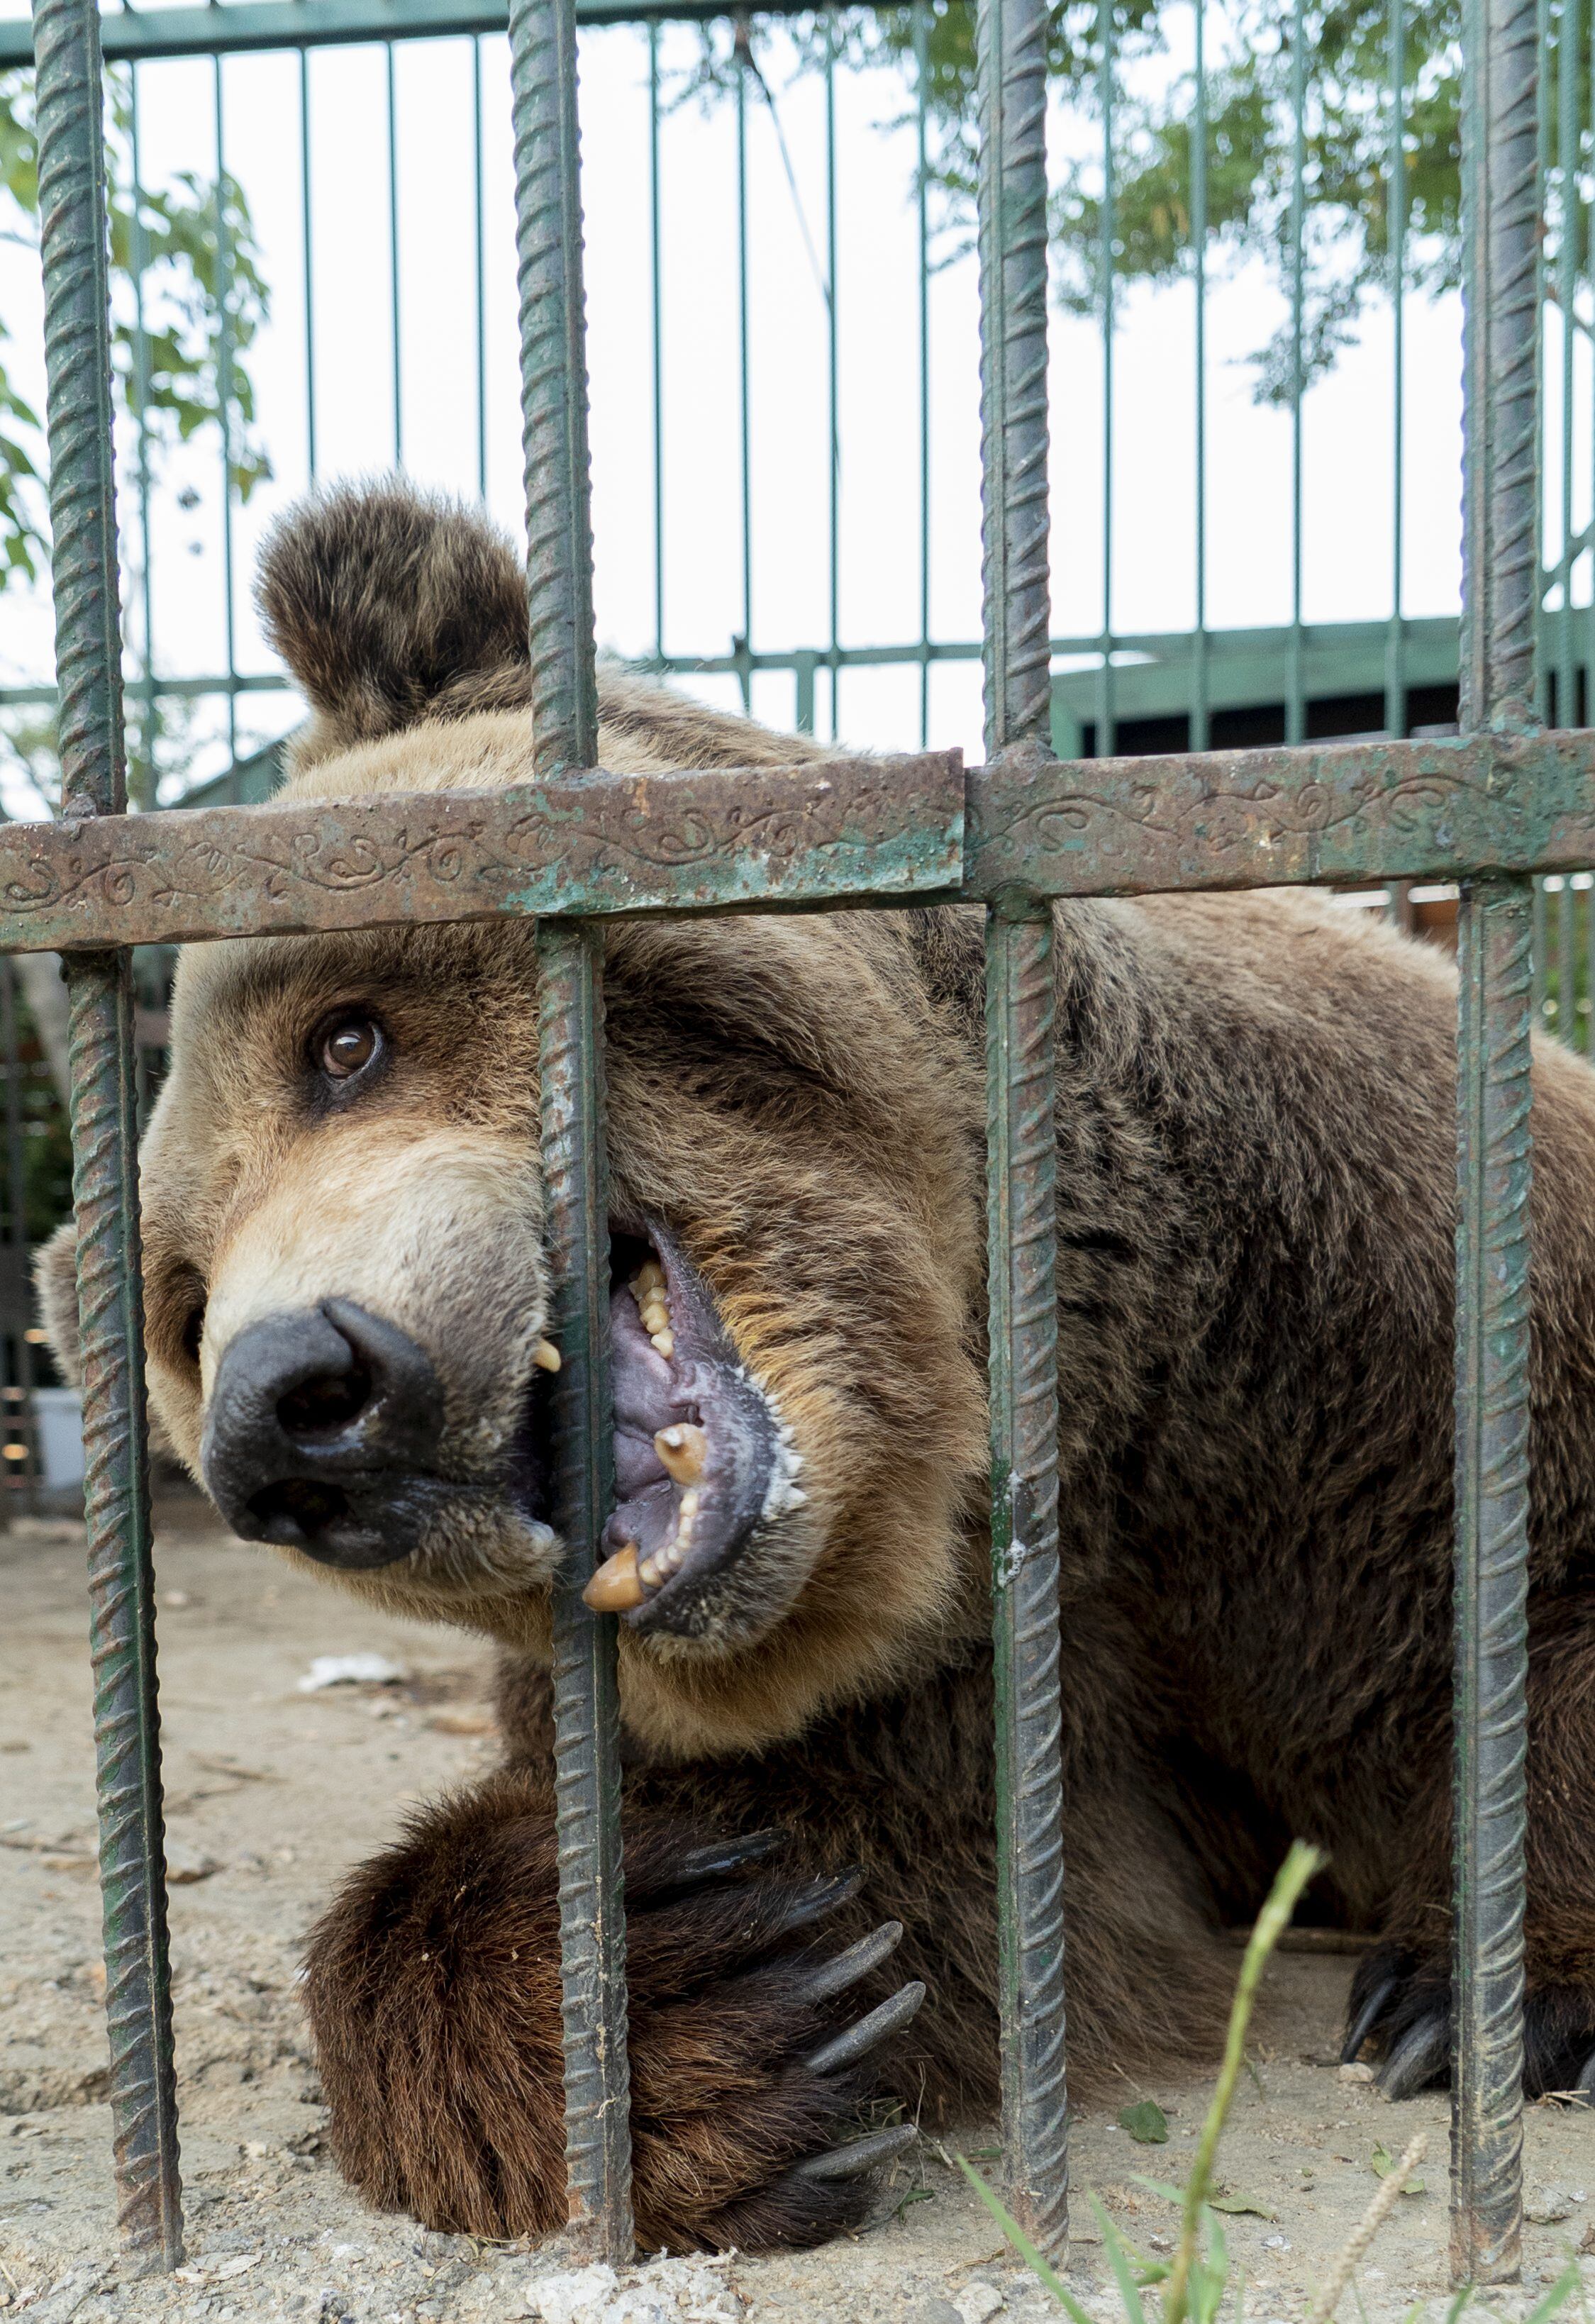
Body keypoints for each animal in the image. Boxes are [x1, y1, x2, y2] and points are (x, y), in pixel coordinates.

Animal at [34, 485, 1595, 2250]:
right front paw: (694, 1987)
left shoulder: (1361, 1329)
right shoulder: (895, 1692)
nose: (293, 1412)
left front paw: (1462, 1989)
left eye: (344, 1042)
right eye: (180, 1303)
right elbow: (924, 1923)